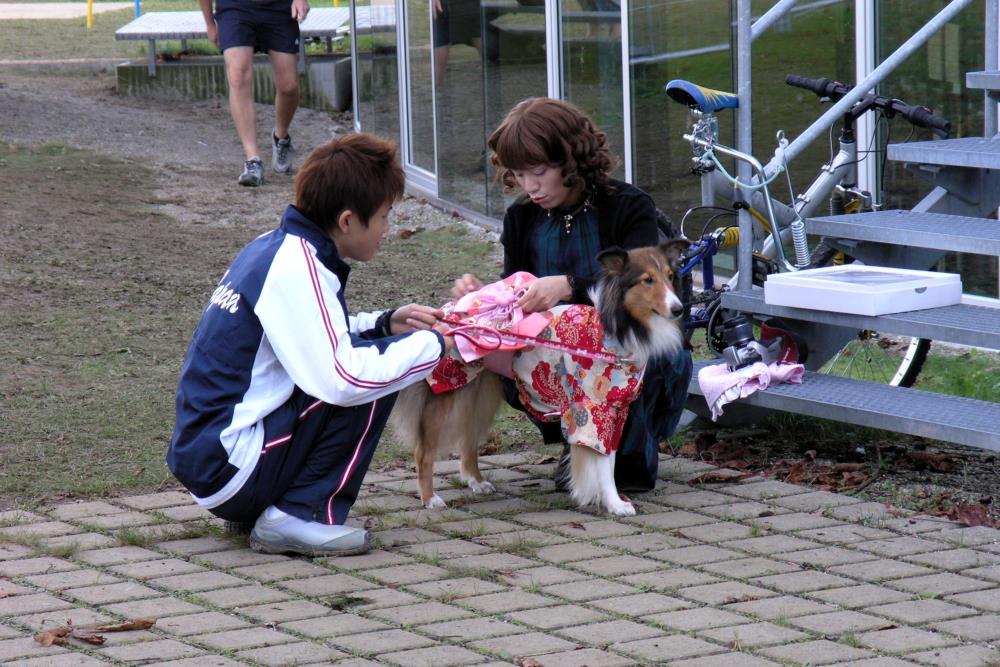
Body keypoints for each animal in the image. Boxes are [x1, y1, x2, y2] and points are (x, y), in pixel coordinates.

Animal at [388, 240, 688, 516]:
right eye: (647, 280)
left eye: (670, 276)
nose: (679, 309)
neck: (617, 329)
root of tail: (443, 313)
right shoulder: (592, 409)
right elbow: (601, 463)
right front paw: (614, 504)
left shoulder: (616, 409)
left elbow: (610, 459)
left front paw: (609, 498)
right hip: (447, 391)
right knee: (424, 452)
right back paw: (430, 498)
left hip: (480, 394)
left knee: (468, 438)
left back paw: (476, 481)